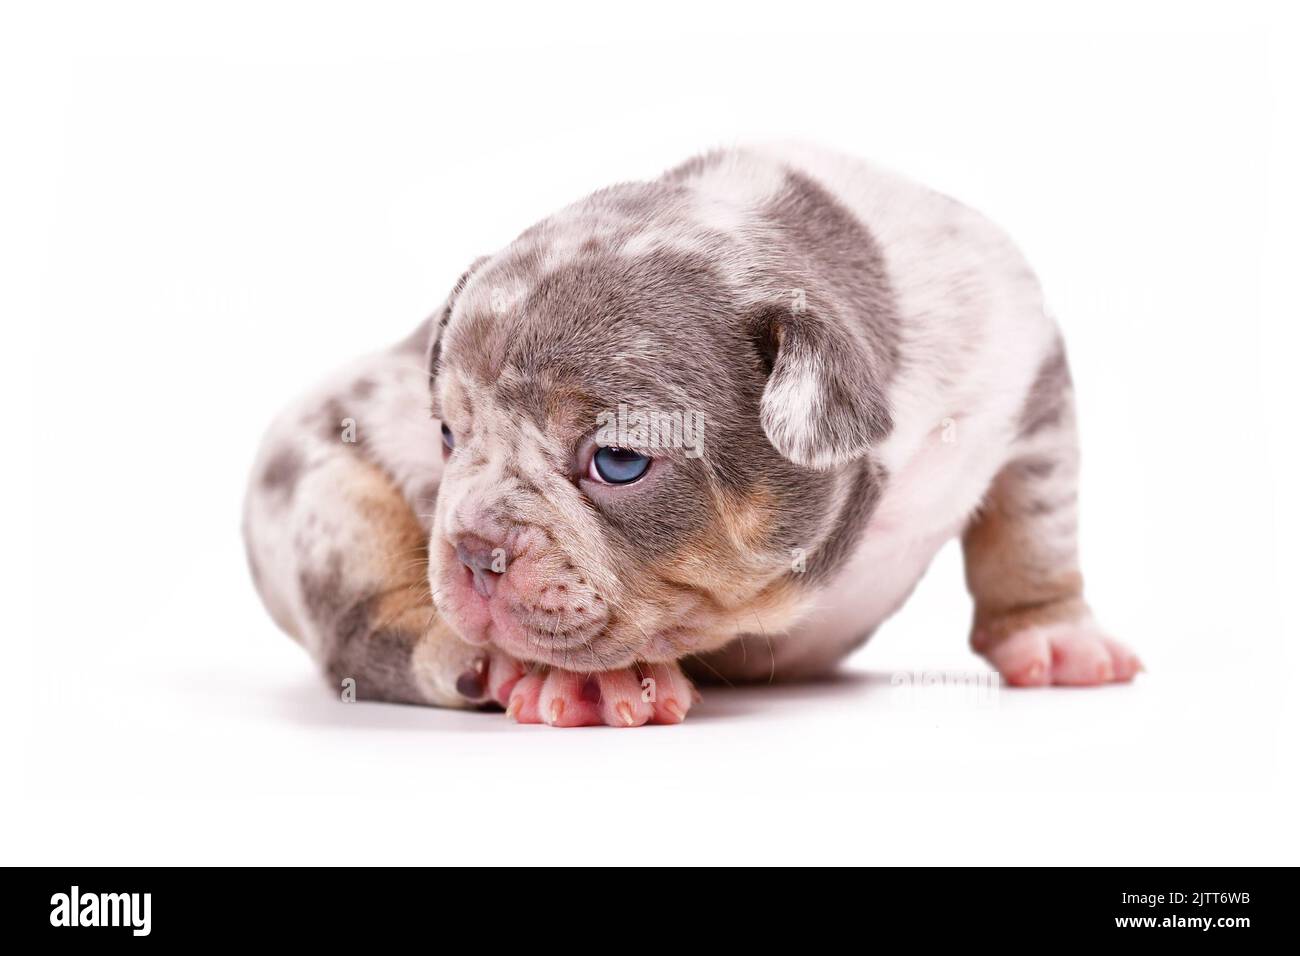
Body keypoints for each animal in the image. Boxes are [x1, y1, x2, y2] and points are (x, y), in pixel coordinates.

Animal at [241, 143, 1138, 723]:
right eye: (448, 437)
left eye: (617, 461)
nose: (473, 549)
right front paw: (604, 683)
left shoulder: (1030, 384)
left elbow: (1033, 528)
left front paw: (1057, 639)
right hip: (317, 495)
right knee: (364, 625)